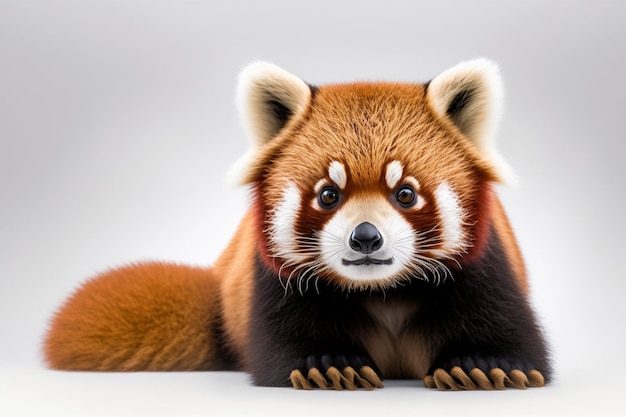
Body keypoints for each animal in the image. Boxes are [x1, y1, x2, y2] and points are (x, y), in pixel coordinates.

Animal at [44, 59, 548, 390]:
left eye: (405, 193)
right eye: (328, 195)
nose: (366, 238)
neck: (382, 291)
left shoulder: (487, 266)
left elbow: (512, 334)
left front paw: (481, 362)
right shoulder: (270, 280)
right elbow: (282, 344)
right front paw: (327, 363)